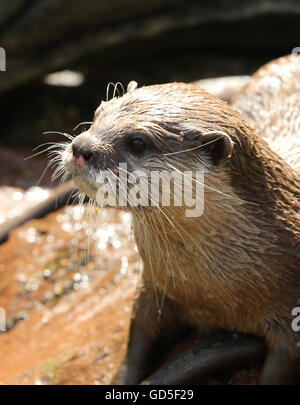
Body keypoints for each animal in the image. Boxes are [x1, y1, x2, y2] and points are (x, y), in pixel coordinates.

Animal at [59, 55, 298, 384]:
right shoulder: (154, 289)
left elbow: (279, 368)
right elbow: (137, 340)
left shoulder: (290, 317)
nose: (80, 147)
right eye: (97, 114)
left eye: (137, 142)